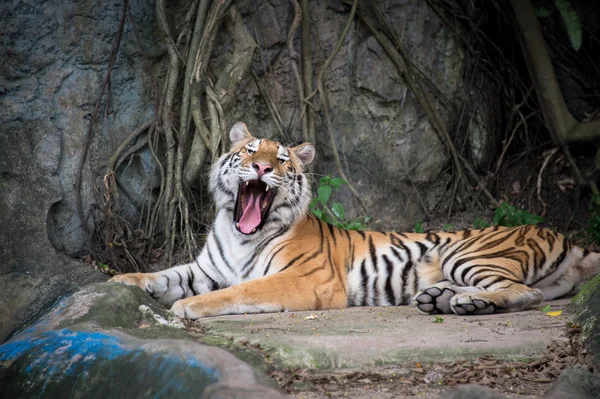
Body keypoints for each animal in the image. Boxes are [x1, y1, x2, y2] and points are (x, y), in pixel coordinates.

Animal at [109, 122, 600, 318]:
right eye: (249, 151)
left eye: (281, 159)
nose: (262, 168)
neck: (239, 232)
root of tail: (557, 232)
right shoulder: (206, 268)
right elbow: (163, 273)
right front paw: (120, 282)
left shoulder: (304, 280)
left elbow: (239, 291)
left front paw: (187, 307)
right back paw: (442, 299)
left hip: (470, 252)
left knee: (527, 292)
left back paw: (469, 304)